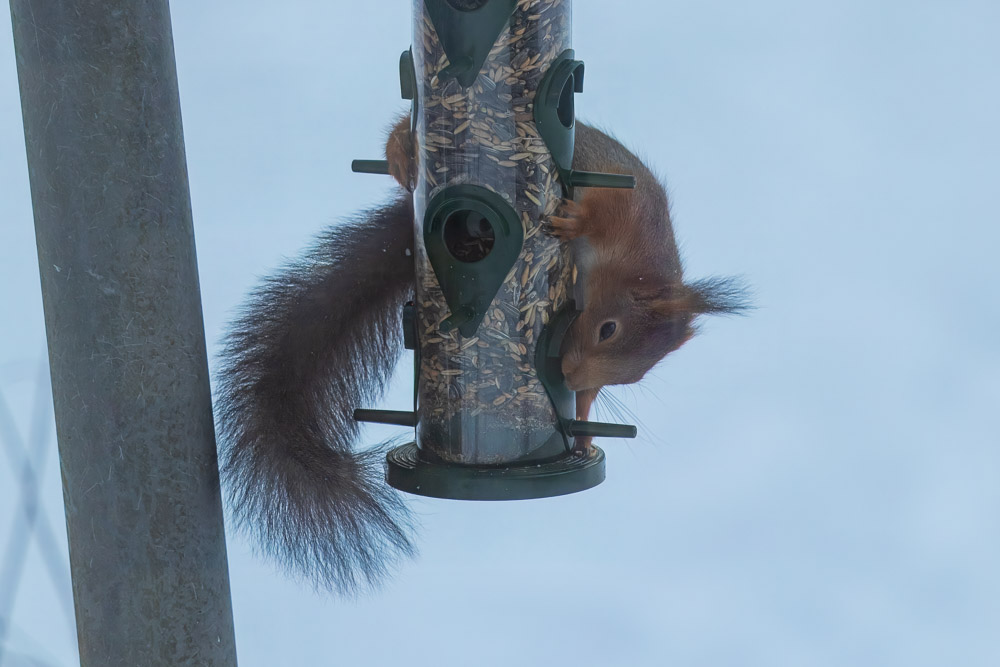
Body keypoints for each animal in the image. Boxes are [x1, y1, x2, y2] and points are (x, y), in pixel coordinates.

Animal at [219, 113, 752, 596]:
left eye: (634, 377)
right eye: (608, 329)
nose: (569, 374)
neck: (632, 261)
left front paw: (583, 433)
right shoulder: (625, 206)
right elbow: (597, 210)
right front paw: (575, 219)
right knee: (399, 128)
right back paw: (400, 152)